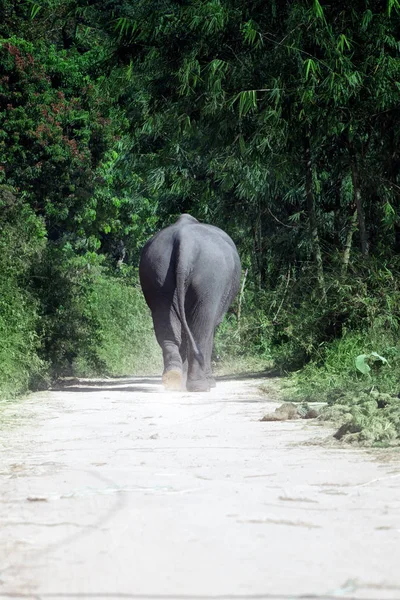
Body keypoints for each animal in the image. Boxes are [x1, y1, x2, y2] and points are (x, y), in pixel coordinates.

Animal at [139, 213, 242, 392]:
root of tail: (184, 242)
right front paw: (211, 382)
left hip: (156, 271)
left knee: (166, 325)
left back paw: (173, 380)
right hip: (210, 278)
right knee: (202, 329)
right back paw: (200, 386)